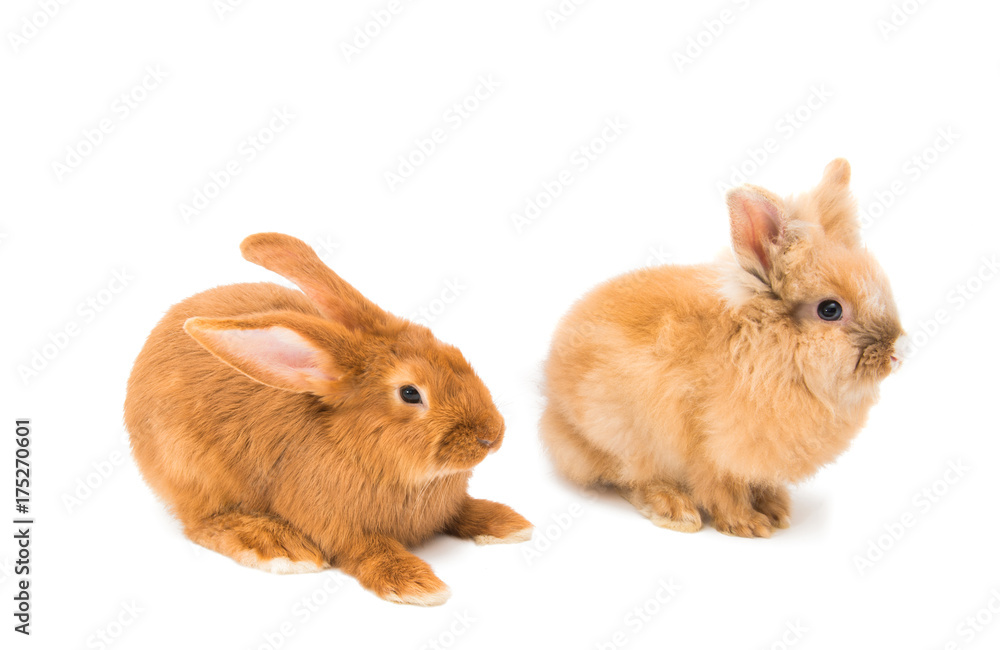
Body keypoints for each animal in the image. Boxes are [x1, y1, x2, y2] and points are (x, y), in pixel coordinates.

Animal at [124, 233, 532, 606]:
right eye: (410, 393)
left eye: (455, 353)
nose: (492, 436)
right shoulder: (335, 525)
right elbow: (368, 548)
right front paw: (417, 584)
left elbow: (464, 511)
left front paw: (509, 524)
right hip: (193, 470)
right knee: (201, 523)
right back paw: (277, 545)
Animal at [540, 159, 902, 538]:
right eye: (830, 310)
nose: (895, 352)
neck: (768, 350)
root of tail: (550, 403)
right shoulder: (711, 449)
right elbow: (721, 489)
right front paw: (748, 525)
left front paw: (776, 510)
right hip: (622, 435)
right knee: (632, 477)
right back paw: (676, 510)